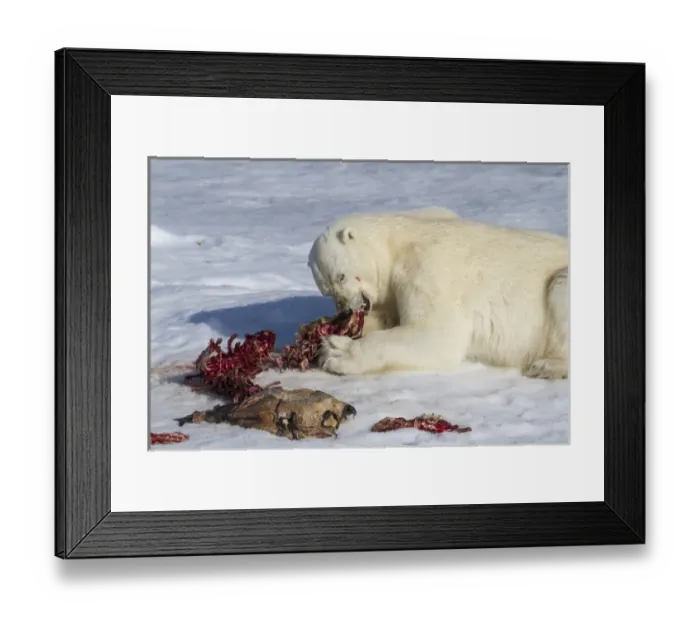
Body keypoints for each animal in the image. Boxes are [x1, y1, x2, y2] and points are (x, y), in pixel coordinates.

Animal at [306, 206, 569, 379]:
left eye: (341, 276)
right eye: (326, 290)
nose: (345, 310)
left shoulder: (428, 266)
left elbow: (435, 334)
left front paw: (335, 350)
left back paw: (547, 366)